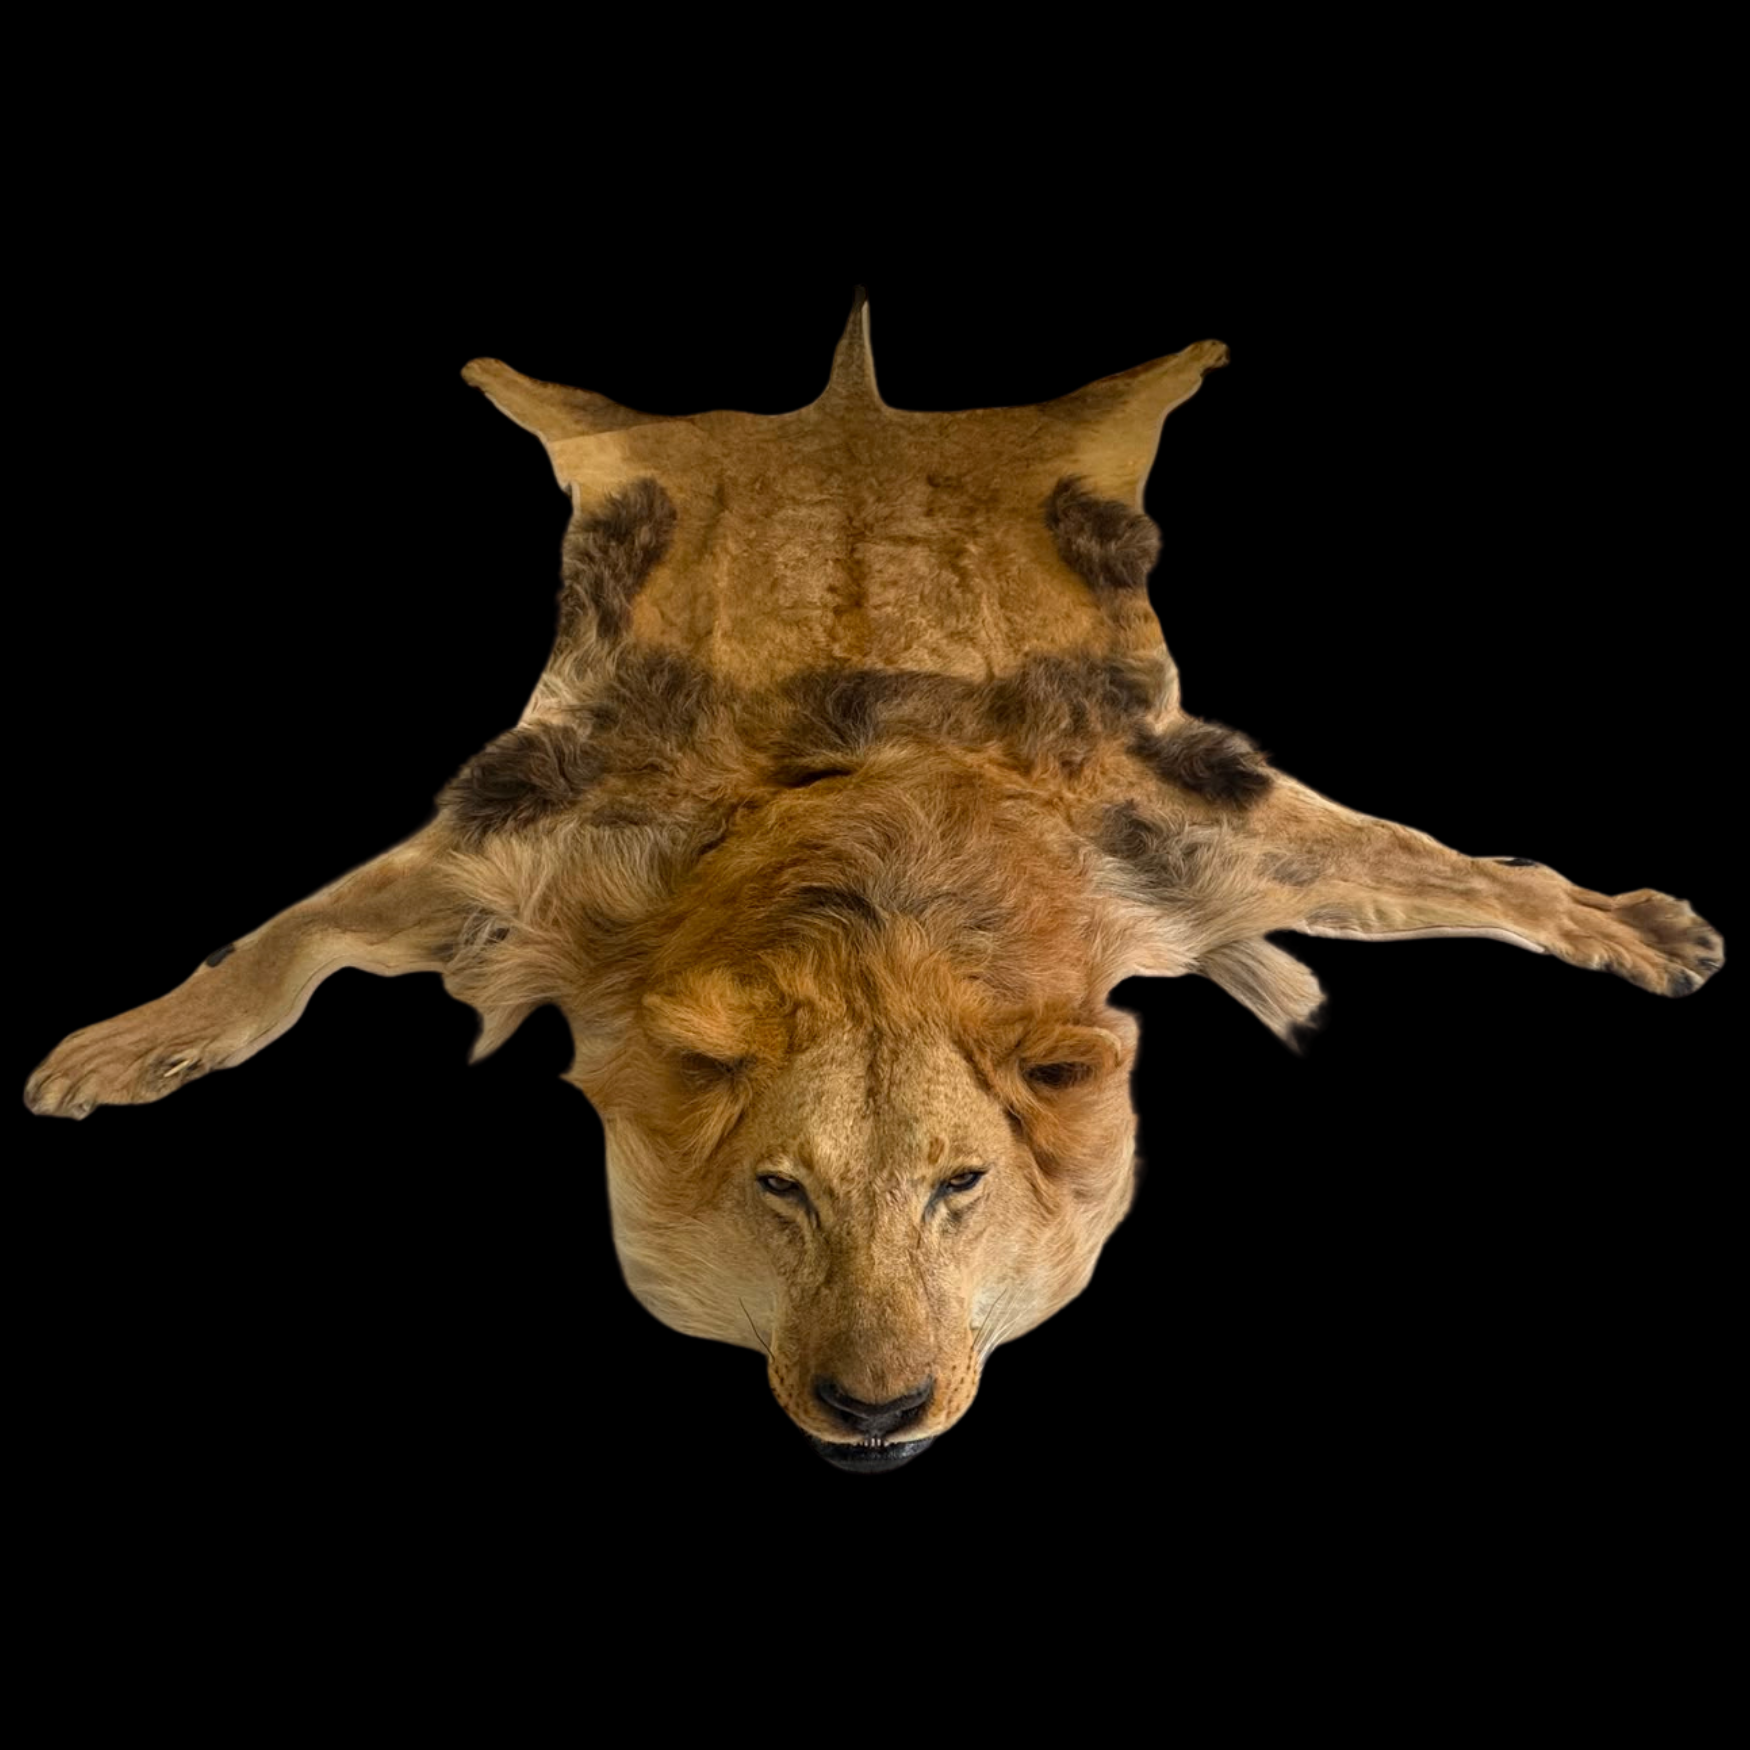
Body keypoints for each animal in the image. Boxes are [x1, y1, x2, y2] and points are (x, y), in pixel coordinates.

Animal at [23, 292, 1723, 1472]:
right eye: (783, 1189)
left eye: (957, 1186)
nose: (873, 1400)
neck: (873, 889)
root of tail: (852, 409)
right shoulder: (528, 848)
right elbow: (275, 947)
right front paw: (109, 1053)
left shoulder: (1185, 826)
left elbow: (1436, 868)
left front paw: (1634, 928)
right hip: (642, 449)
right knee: (573, 413)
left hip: (1054, 441)